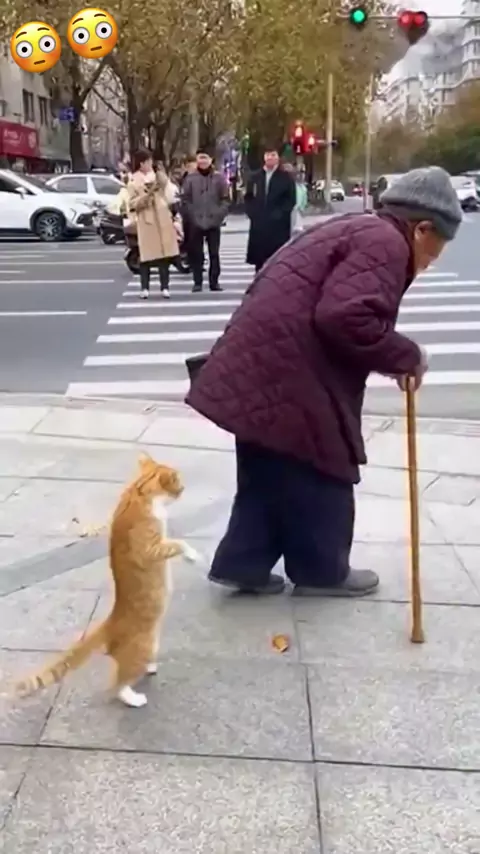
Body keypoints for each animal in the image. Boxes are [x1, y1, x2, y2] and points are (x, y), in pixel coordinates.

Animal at [15, 454, 199, 708]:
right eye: (178, 482)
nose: (183, 489)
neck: (139, 492)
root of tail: (111, 622)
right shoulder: (150, 549)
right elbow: (177, 543)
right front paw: (192, 555)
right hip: (141, 647)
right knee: (119, 683)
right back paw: (133, 697)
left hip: (152, 641)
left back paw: (150, 667)